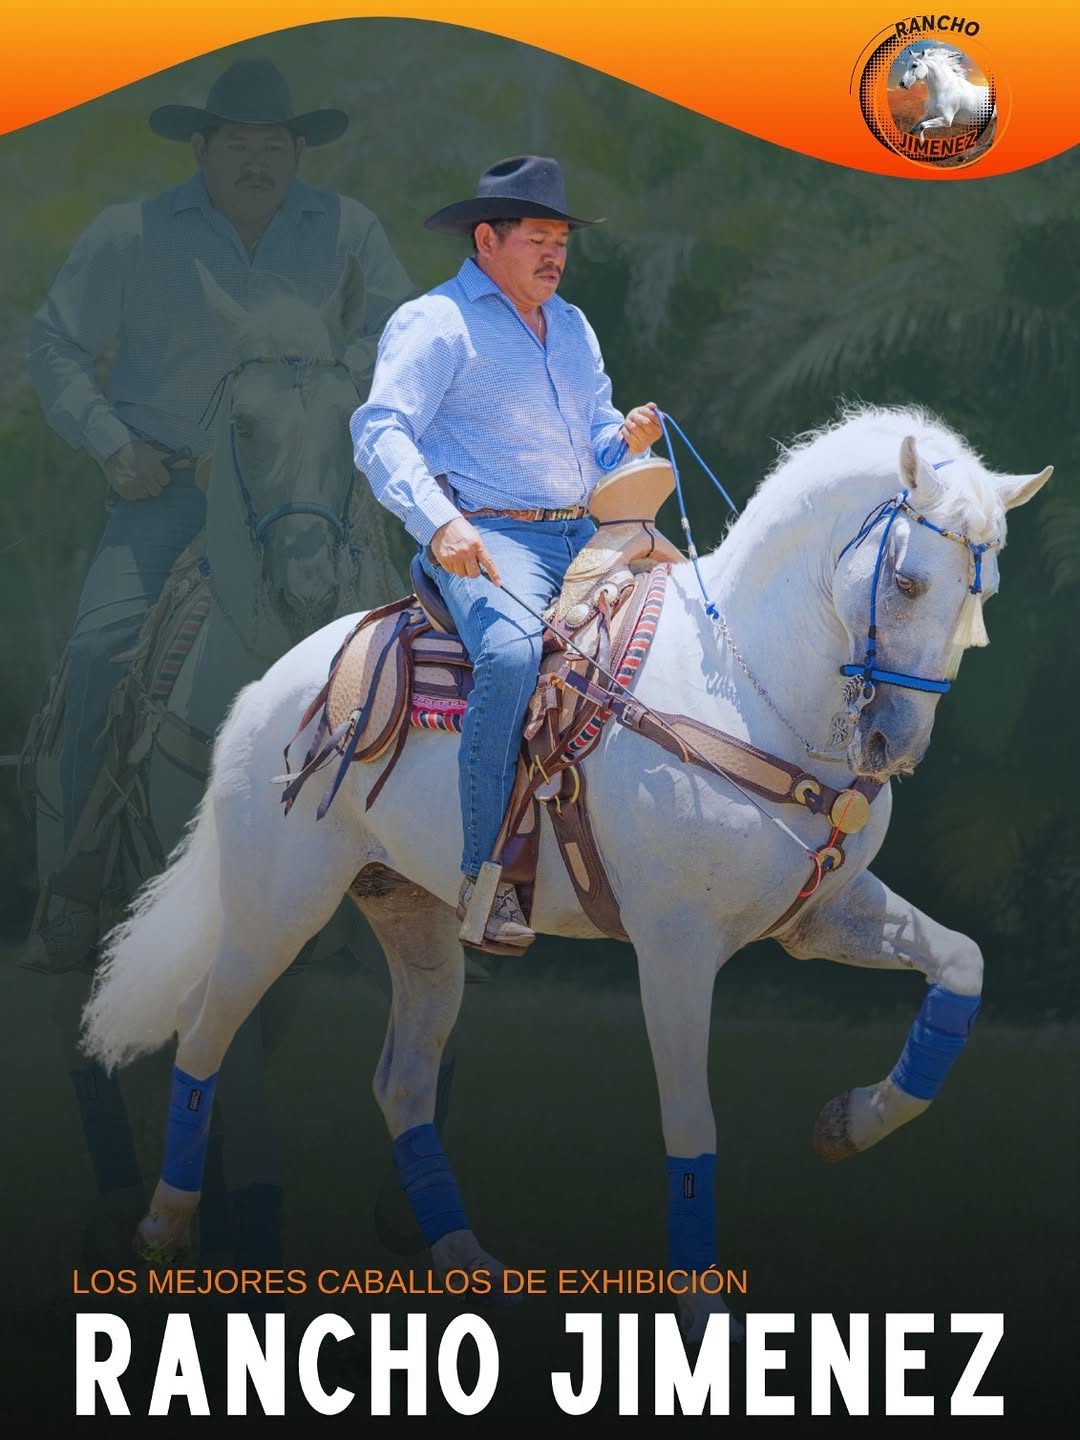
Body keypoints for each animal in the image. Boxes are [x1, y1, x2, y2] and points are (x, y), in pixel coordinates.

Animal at [79, 405, 1051, 1339]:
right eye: (909, 582)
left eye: (983, 596)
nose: (894, 746)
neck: (741, 689)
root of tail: (265, 691)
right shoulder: (674, 949)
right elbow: (691, 1120)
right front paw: (708, 1314)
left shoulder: (822, 915)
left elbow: (962, 965)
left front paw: (850, 1124)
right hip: (277, 906)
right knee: (205, 1033)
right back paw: (164, 1231)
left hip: (414, 919)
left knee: (401, 1082)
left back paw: (471, 1266)